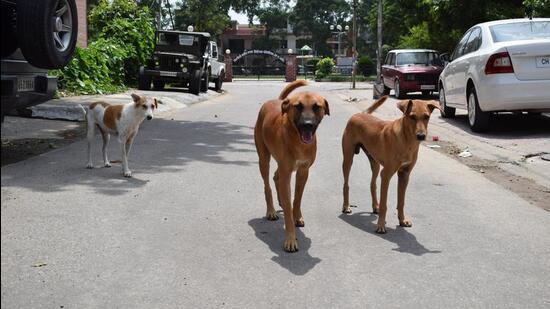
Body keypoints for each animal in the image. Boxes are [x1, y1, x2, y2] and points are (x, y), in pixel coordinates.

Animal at [256, 79, 332, 250]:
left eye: (317, 107)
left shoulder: (303, 171)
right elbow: (288, 207)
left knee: (276, 176)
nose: (307, 125)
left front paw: (297, 216)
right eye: (298, 106)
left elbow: (297, 199)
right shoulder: (287, 173)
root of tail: (277, 100)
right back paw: (271, 210)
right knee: (267, 185)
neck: (298, 141)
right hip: (263, 158)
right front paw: (290, 239)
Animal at [342, 95, 442, 232]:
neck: (407, 141)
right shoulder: (386, 174)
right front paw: (381, 225)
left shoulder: (404, 174)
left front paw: (402, 221)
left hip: (375, 164)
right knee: (346, 184)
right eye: (412, 117)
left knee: (372, 184)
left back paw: (375, 206)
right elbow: (385, 204)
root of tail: (359, 114)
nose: (421, 136)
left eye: (427, 116)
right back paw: (346, 206)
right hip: (348, 159)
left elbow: (401, 201)